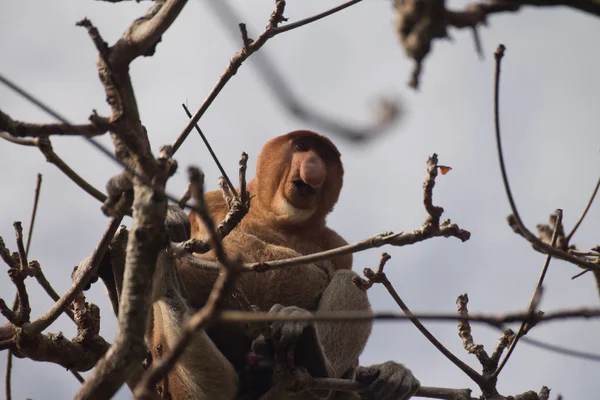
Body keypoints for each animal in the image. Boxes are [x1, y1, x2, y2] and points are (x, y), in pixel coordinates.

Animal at [149, 131, 418, 400]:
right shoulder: (211, 202)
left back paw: (310, 359)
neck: (278, 219)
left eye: (324, 156)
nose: (314, 165)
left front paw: (391, 374)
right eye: (302, 146)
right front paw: (171, 217)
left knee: (349, 280)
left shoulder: (337, 244)